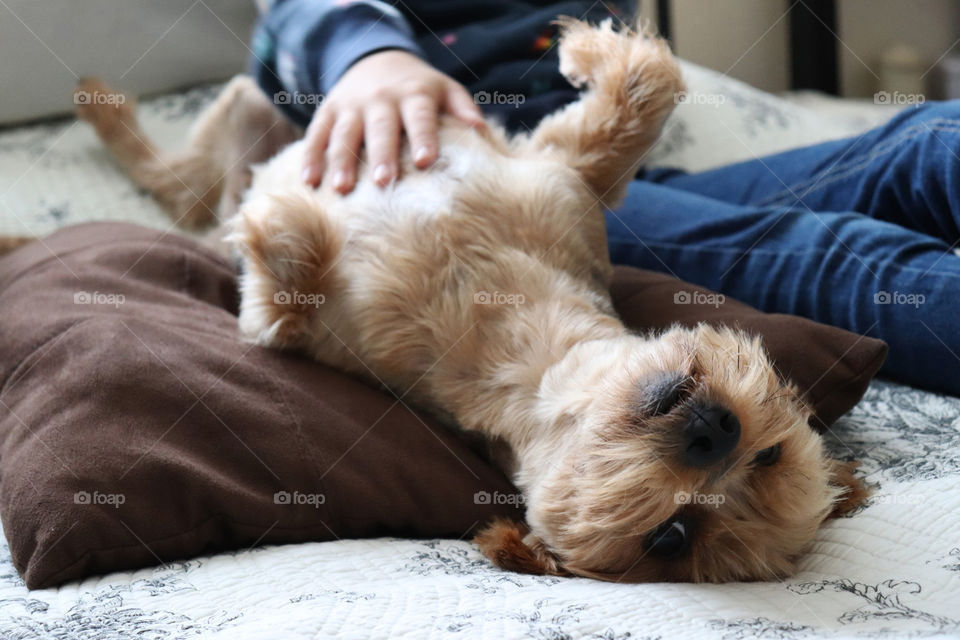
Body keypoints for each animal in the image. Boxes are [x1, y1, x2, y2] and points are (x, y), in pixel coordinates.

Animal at [60, 17, 868, 584]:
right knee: (189, 168)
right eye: (770, 454)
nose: (716, 432)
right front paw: (582, 52)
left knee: (186, 196)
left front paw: (275, 223)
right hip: (245, 109)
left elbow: (278, 272)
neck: (515, 325)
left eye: (670, 538)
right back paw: (100, 104)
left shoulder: (280, 319)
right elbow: (648, 84)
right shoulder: (561, 175)